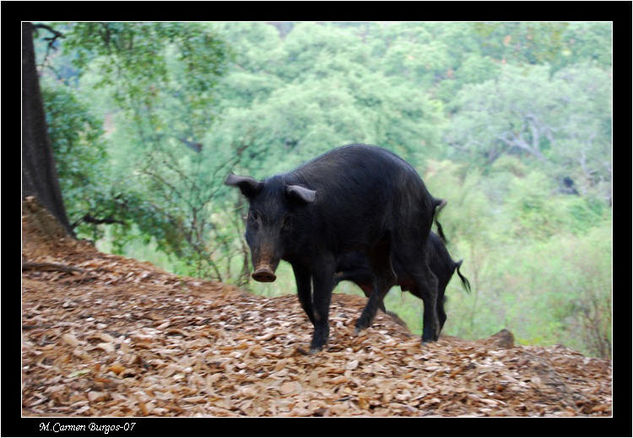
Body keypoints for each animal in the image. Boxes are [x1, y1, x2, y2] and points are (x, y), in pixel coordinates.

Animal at [226, 144, 440, 352]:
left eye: (286, 220)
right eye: (254, 215)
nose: (263, 272)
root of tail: (429, 197)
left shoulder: (325, 259)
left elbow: (320, 300)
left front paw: (314, 349)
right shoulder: (299, 262)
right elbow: (304, 298)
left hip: (410, 237)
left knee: (430, 281)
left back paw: (426, 341)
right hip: (378, 244)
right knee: (387, 276)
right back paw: (358, 329)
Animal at [334, 231, 472, 334]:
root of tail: (453, 262)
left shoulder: (369, 273)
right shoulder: (368, 287)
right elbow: (380, 306)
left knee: (441, 314)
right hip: (415, 289)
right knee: (442, 303)